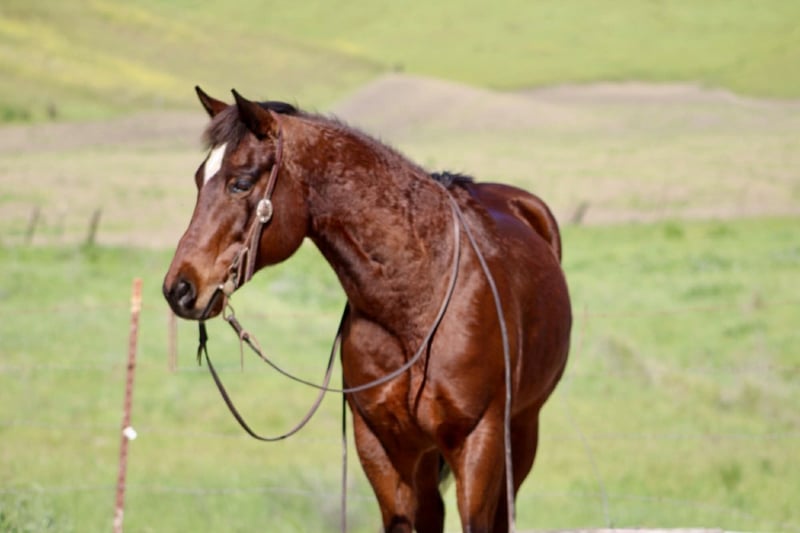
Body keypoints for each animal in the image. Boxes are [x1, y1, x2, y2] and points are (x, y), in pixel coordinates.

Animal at [163, 87, 571, 533]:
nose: (179, 288)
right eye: (199, 179)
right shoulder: (381, 445)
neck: (417, 301)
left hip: (522, 430)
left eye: (240, 183)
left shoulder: (479, 440)